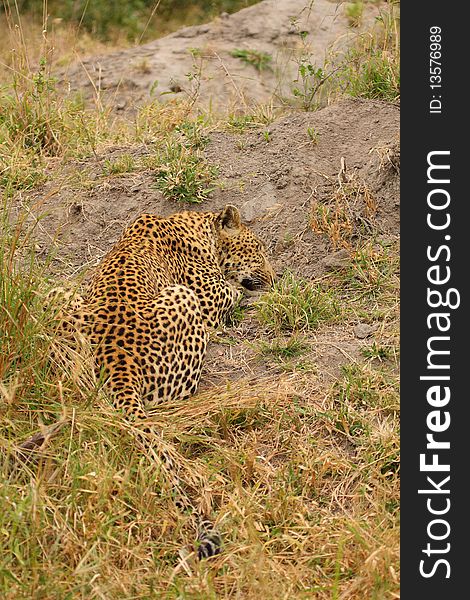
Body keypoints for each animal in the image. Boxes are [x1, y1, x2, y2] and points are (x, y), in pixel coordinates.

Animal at [50, 204, 276, 560]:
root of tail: (117, 361)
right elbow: (236, 290)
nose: (274, 278)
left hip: (58, 295)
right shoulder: (213, 296)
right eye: (258, 250)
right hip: (183, 298)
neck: (195, 228)